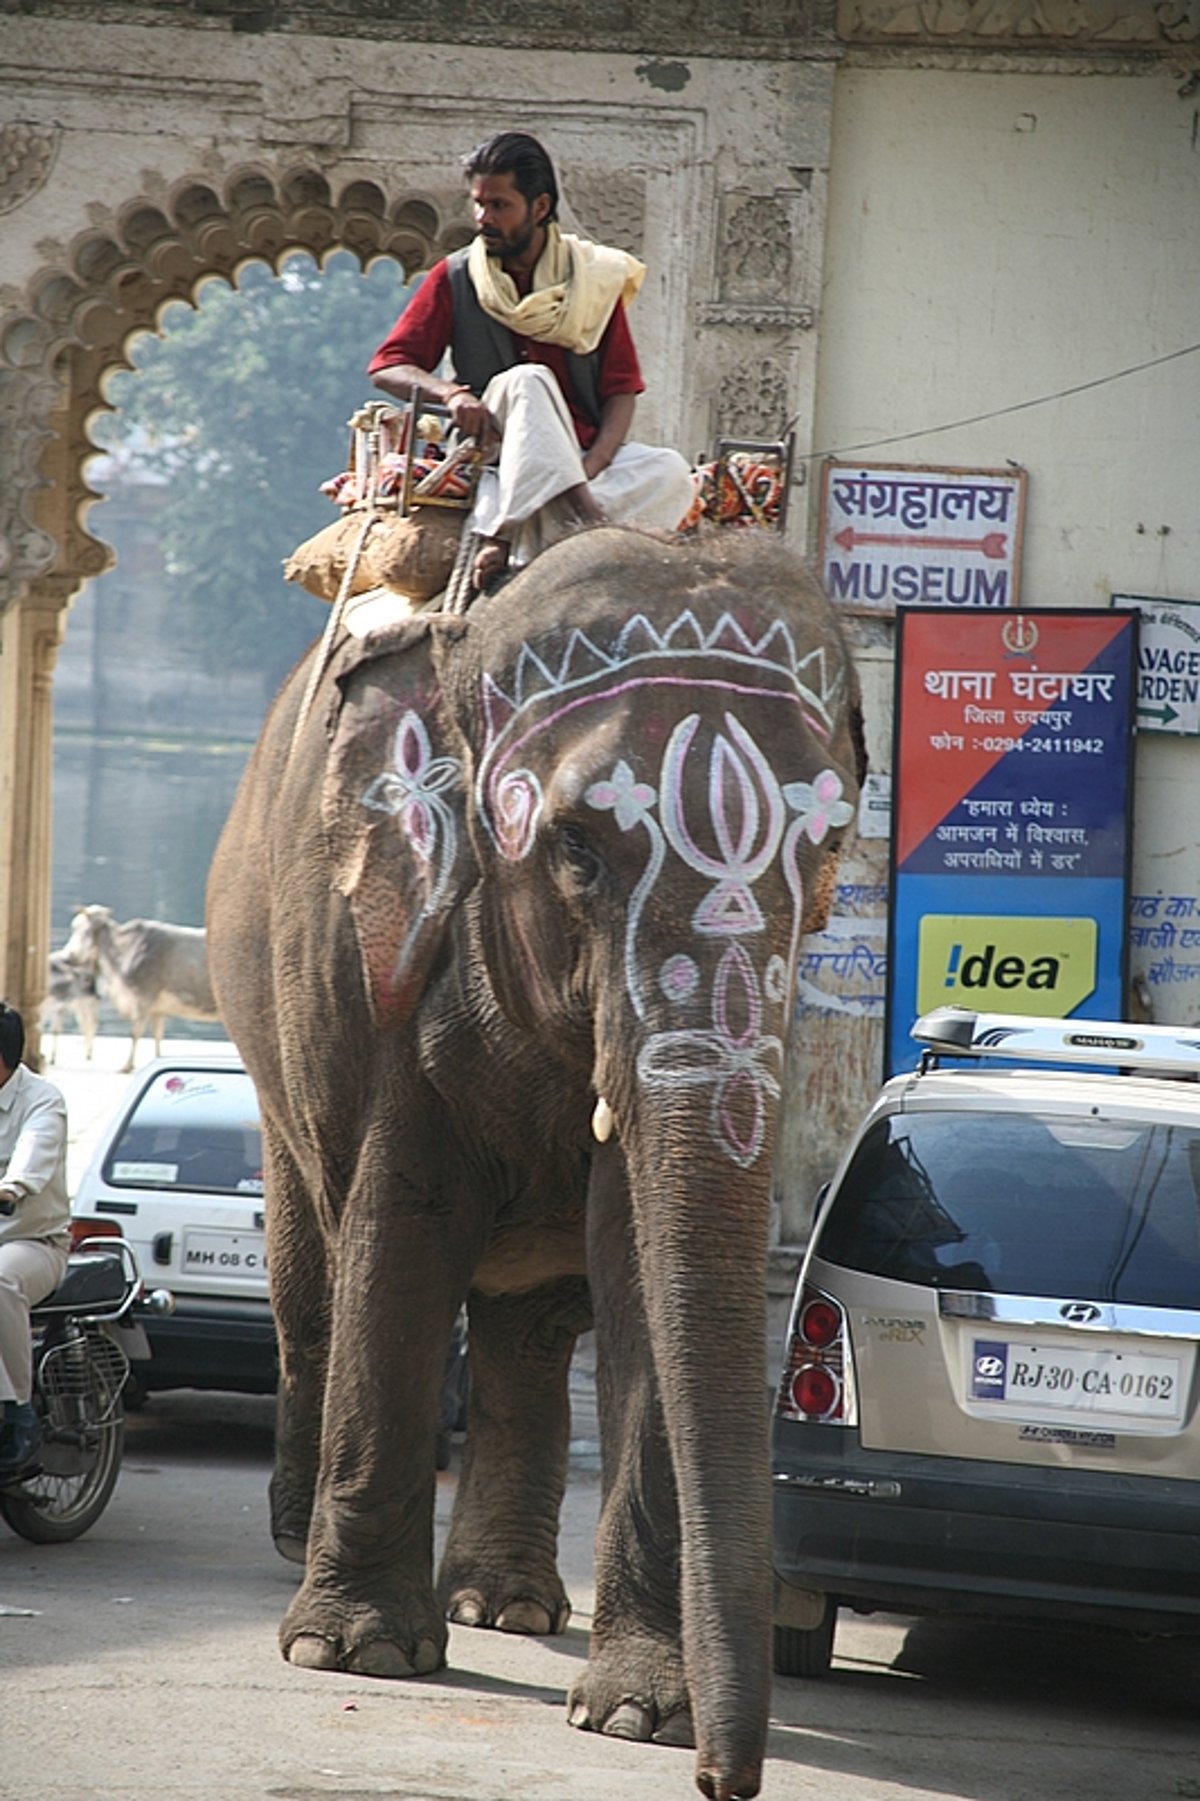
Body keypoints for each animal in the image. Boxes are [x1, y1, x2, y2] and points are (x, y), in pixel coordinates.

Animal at [60, 900, 220, 1066]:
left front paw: (127, 1066)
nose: (65, 957)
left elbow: (135, 1033)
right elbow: (158, 1035)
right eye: (73, 927)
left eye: (86, 931)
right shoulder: (158, 1008)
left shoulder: (142, 998)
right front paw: (157, 1058)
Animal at [205, 525, 861, 1801]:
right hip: (269, 1028)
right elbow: (402, 1230)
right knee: (316, 1274)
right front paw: (357, 1653)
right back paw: (301, 1545)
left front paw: (636, 1717)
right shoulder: (383, 950)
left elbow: (640, 1267)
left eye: (829, 847)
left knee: (531, 1327)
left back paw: (503, 1605)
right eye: (574, 851)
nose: (724, 1780)